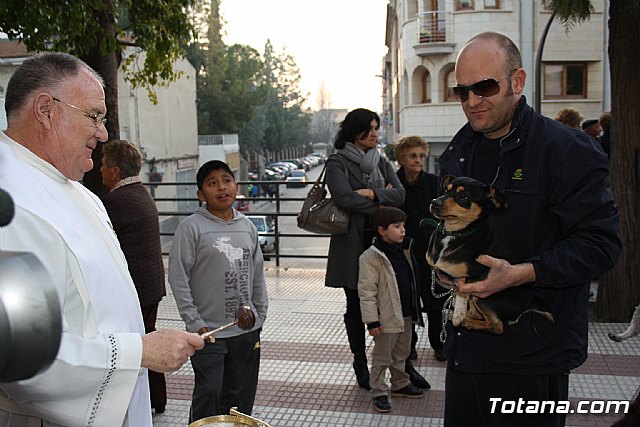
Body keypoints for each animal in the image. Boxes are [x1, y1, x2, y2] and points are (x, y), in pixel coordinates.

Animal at [426, 176, 553, 335]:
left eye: (463, 196)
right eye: (445, 191)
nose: (434, 203)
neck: (456, 233)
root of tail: (530, 302)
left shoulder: (480, 275)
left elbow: (462, 288)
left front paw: (459, 312)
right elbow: (455, 286)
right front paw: (457, 308)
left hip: (486, 297)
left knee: (497, 325)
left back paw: (462, 319)